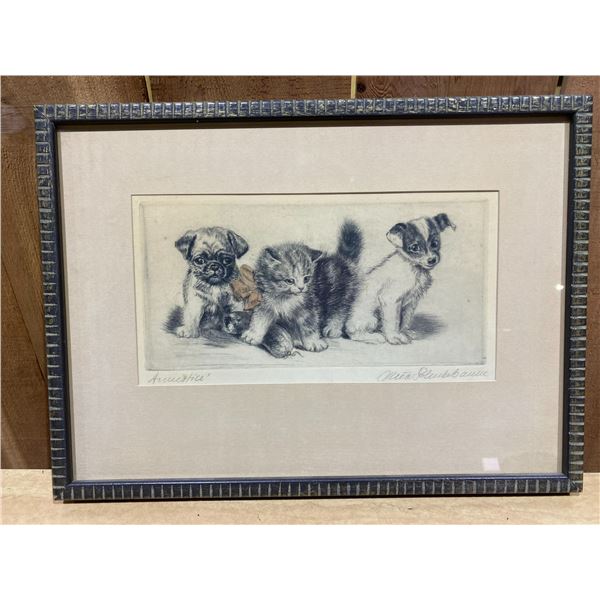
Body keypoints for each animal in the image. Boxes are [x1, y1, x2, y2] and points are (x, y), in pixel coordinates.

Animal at [345, 213, 455, 344]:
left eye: (435, 243)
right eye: (414, 247)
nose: (432, 260)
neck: (413, 267)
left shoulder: (411, 302)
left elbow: (405, 319)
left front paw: (404, 332)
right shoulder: (390, 299)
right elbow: (393, 321)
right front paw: (394, 337)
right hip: (370, 317)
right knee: (353, 333)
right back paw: (374, 337)